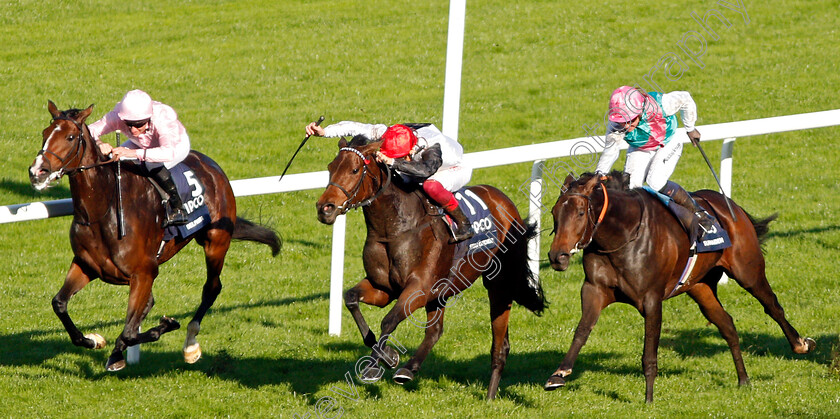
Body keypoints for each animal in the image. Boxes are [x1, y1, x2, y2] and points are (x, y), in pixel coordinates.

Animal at [27, 101, 280, 370]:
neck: (103, 209)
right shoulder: (88, 265)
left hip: (216, 241)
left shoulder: (145, 272)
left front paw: (167, 325)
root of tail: (213, 167)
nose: (37, 171)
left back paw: (190, 343)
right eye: (45, 133)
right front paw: (95, 340)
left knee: (211, 288)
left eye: (70, 137)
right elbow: (60, 304)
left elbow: (130, 331)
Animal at [316, 138, 544, 400]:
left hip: (498, 284)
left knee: (500, 344)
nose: (325, 208)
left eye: (354, 170)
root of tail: (503, 200)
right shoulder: (383, 288)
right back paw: (409, 369)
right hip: (441, 290)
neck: (394, 228)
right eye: (331, 167)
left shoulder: (419, 288)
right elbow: (351, 298)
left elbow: (389, 320)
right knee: (435, 330)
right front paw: (390, 357)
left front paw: (374, 366)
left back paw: (489, 397)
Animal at [544, 171, 812, 404]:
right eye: (554, 212)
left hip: (748, 271)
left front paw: (649, 398)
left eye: (580, 212)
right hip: (700, 286)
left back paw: (800, 344)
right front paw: (558, 374)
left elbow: (649, 351)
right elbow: (582, 330)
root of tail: (729, 205)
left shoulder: (651, 300)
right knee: (726, 324)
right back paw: (743, 379)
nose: (557, 256)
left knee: (772, 306)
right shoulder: (593, 290)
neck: (622, 237)